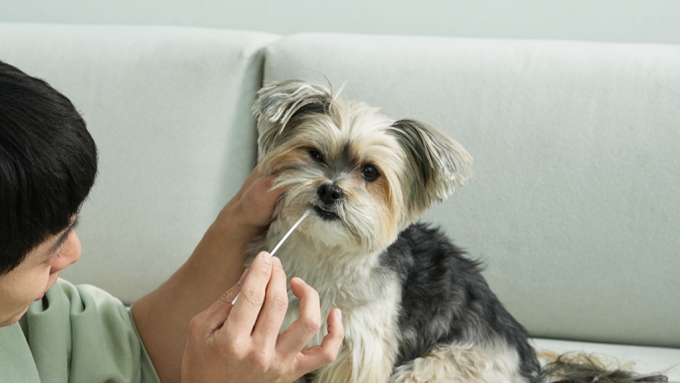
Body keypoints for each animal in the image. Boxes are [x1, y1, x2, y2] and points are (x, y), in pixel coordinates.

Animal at [246, 79, 668, 382]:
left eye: (370, 172)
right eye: (315, 154)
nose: (330, 190)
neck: (325, 253)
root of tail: (531, 371)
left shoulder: (358, 349)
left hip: (440, 366)